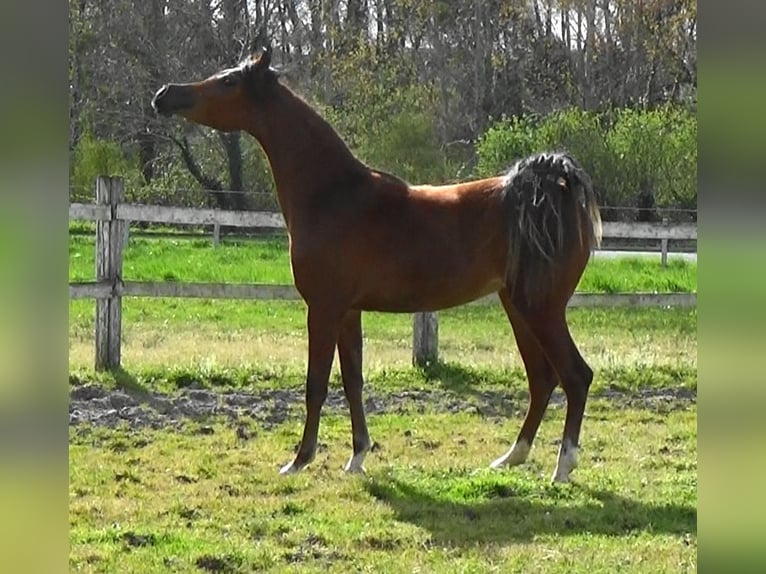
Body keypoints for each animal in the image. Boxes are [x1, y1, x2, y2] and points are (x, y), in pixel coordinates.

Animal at [152, 47, 602, 483]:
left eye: (229, 81)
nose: (165, 95)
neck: (333, 195)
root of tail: (555, 194)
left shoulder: (323, 308)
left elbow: (316, 384)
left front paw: (299, 460)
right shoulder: (348, 312)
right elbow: (353, 382)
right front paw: (357, 457)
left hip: (541, 309)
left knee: (576, 376)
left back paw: (562, 469)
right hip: (517, 307)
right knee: (542, 379)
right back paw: (511, 458)